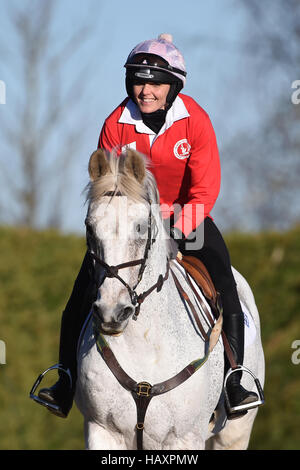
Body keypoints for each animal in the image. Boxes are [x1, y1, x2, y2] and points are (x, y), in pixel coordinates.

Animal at [75, 149, 264, 450]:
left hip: (234, 434)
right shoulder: (102, 431)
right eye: (90, 228)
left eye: (140, 228)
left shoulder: (184, 438)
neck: (145, 343)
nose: (111, 312)